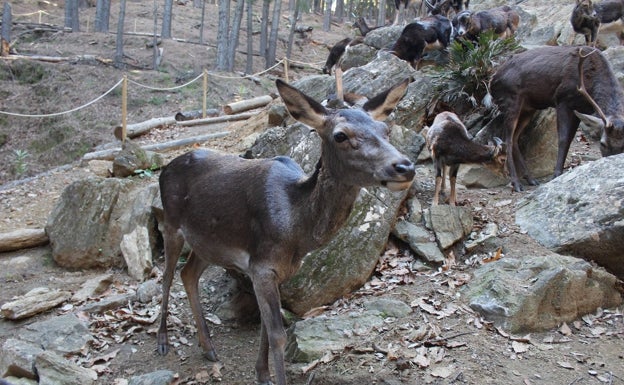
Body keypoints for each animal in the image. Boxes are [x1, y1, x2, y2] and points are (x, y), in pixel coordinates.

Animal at [156, 78, 414, 384]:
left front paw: (261, 373)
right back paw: (163, 341)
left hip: (207, 242)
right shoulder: (261, 266)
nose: (405, 166)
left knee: (188, 274)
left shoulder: (276, 271)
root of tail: (164, 169)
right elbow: (278, 334)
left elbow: (266, 328)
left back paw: (208, 347)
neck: (297, 232)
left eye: (386, 130)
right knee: (167, 277)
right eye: (340, 135)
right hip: (171, 223)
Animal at [490, 45, 624, 192]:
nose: (610, 162)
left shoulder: (579, 108)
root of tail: (493, 80)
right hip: (511, 100)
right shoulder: (562, 99)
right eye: (602, 143)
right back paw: (516, 183)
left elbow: (569, 139)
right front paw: (556, 174)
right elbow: (563, 139)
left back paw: (531, 179)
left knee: (514, 138)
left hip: (528, 108)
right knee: (507, 139)